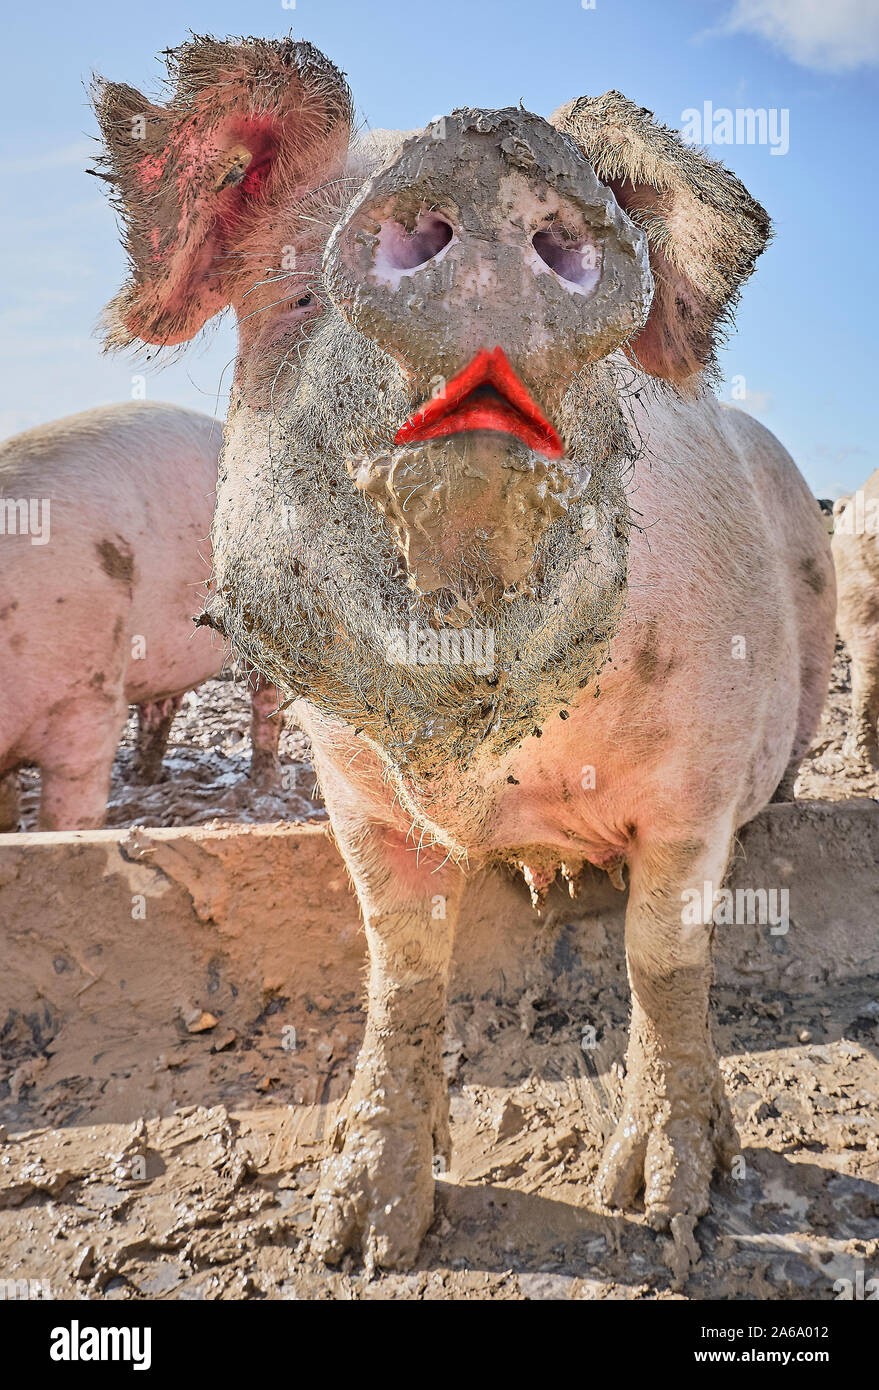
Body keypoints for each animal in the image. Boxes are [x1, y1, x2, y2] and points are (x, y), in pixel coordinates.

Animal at [0, 401, 283, 831]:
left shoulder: (89, 704)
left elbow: (65, 818)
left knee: (266, 702)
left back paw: (262, 783)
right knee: (161, 706)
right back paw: (141, 778)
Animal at [93, 38, 835, 1271]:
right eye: (294, 293)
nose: (486, 146)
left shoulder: (701, 779)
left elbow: (661, 961)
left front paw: (667, 1208)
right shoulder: (351, 789)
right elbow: (399, 972)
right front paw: (356, 1239)